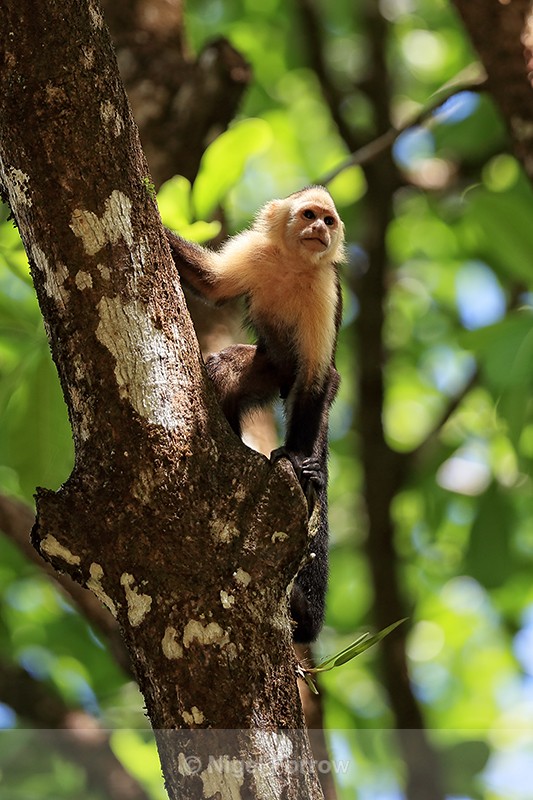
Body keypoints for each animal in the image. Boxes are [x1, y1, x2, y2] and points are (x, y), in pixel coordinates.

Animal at [166, 186, 345, 642]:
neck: (295, 265)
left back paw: (309, 469)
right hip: (267, 365)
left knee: (320, 387)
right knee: (225, 372)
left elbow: (314, 377)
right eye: (309, 215)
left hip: (313, 390)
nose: (320, 230)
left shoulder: (325, 291)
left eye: (329, 221)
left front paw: (297, 460)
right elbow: (212, 283)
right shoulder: (256, 252)